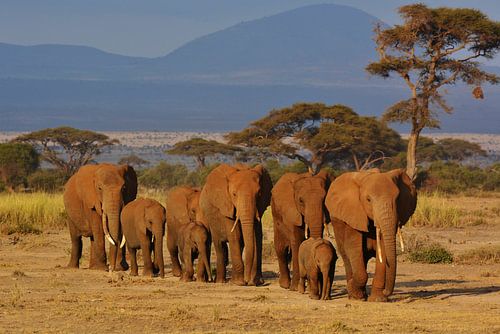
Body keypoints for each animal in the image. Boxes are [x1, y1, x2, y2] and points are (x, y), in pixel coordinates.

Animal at [324, 168, 418, 302]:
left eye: (397, 199)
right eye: (368, 200)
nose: (386, 291)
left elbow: (383, 250)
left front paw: (378, 299)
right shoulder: (353, 213)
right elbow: (354, 248)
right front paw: (355, 293)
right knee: (347, 256)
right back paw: (354, 295)